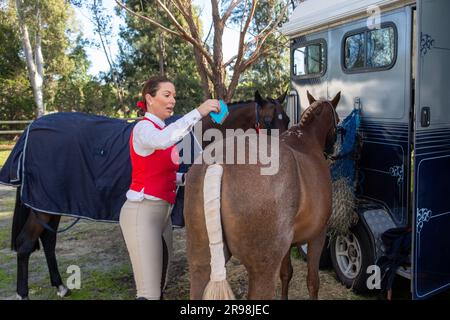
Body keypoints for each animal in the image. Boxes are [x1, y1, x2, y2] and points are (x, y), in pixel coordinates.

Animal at [1, 89, 290, 298]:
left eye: (286, 119)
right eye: (267, 121)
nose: (286, 157)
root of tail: (30, 129)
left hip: (50, 205)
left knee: (48, 242)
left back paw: (61, 286)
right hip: (41, 205)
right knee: (26, 244)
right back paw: (24, 293)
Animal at [183, 90, 342, 300]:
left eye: (287, 118)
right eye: (338, 121)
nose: (332, 151)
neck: (306, 140)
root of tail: (219, 163)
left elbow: (286, 273)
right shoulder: (318, 235)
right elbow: (313, 282)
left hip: (201, 263)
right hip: (262, 270)